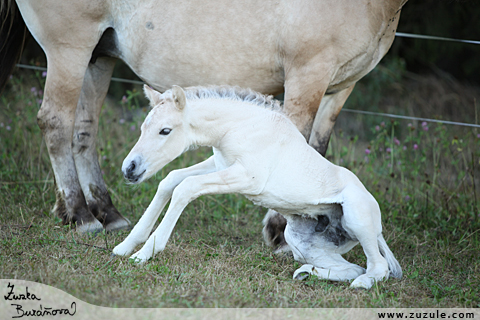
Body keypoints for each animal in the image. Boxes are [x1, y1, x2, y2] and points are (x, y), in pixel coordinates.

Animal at [0, 0, 404, 240]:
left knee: (84, 129)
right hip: (70, 49)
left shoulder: (341, 88)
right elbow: (300, 141)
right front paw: (281, 230)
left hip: (99, 57)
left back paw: (105, 212)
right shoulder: (308, 74)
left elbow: (318, 149)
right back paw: (80, 214)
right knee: (56, 122)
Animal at [112, 85, 402, 290]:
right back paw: (307, 273)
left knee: (377, 267)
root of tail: (378, 226)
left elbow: (185, 187)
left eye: (165, 130)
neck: (239, 126)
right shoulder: (219, 164)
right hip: (300, 241)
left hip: (357, 220)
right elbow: (170, 180)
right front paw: (125, 246)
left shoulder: (246, 177)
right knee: (352, 267)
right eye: (143, 127)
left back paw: (360, 284)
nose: (130, 169)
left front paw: (144, 254)